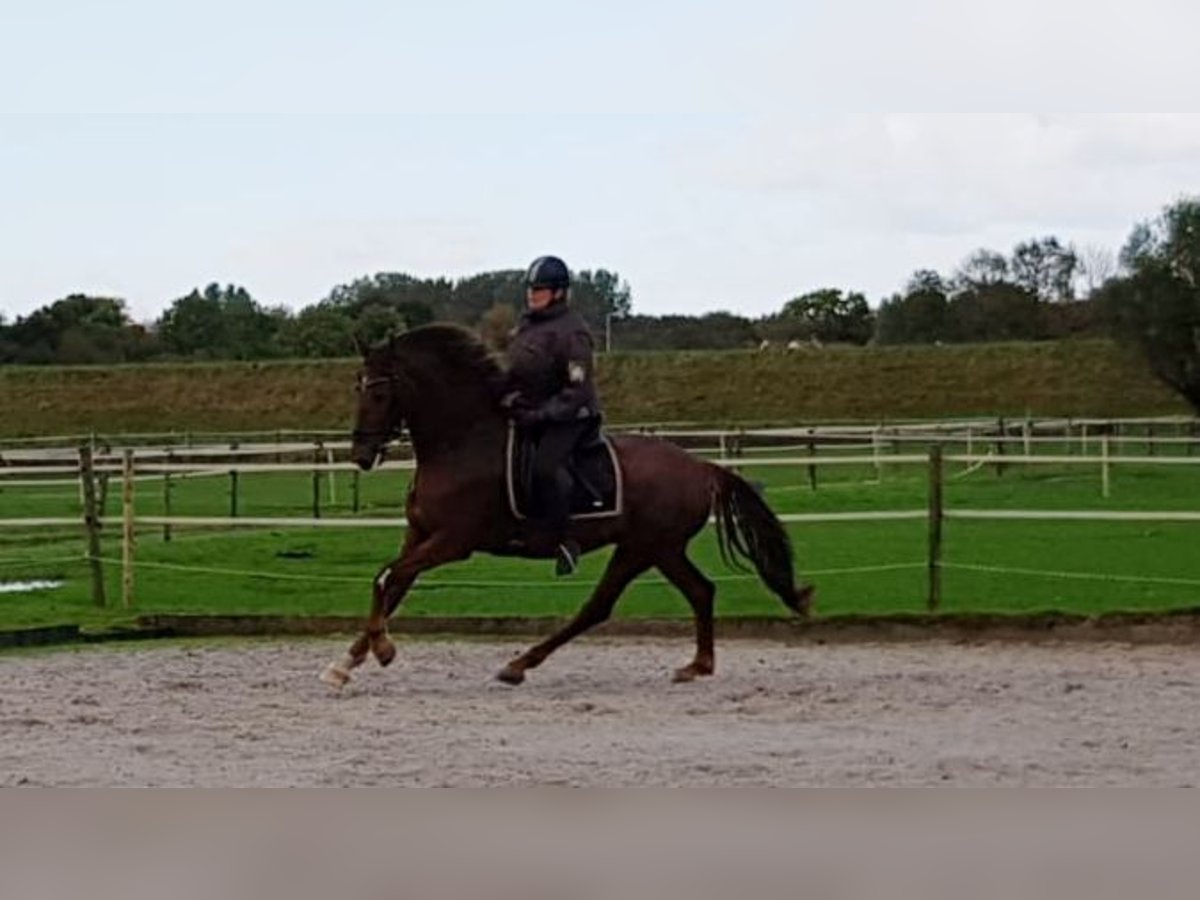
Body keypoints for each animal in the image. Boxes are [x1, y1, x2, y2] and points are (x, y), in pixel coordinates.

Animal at [321, 328, 816, 686]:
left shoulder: (452, 542)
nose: (361, 456)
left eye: (380, 394)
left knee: (599, 606)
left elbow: (390, 577)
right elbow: (390, 583)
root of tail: (701, 466)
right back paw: (697, 665)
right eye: (357, 388)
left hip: (643, 547)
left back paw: (520, 664)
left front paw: (382, 649)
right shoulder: (419, 535)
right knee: (700, 591)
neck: (461, 444)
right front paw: (346, 663)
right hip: (663, 550)